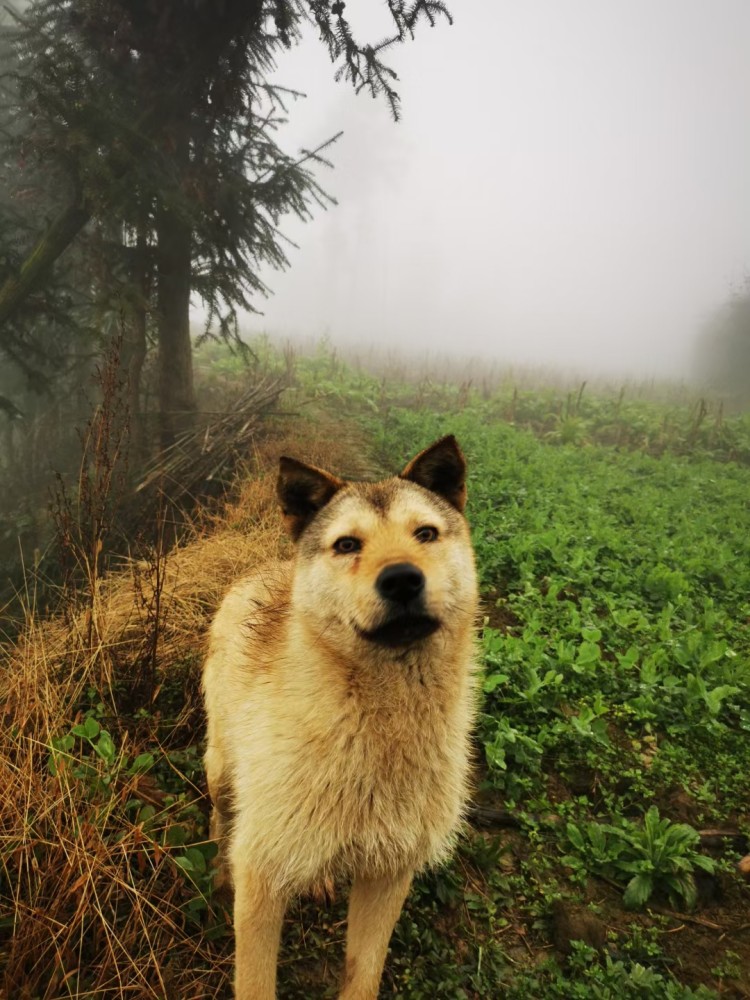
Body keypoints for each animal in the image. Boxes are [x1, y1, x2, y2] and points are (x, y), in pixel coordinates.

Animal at [203, 438, 478, 1000]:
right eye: (348, 545)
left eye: (425, 534)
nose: (402, 580)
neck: (379, 725)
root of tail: (263, 567)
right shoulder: (261, 875)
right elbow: (255, 981)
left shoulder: (390, 872)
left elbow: (363, 972)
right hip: (221, 770)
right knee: (221, 814)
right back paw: (219, 867)